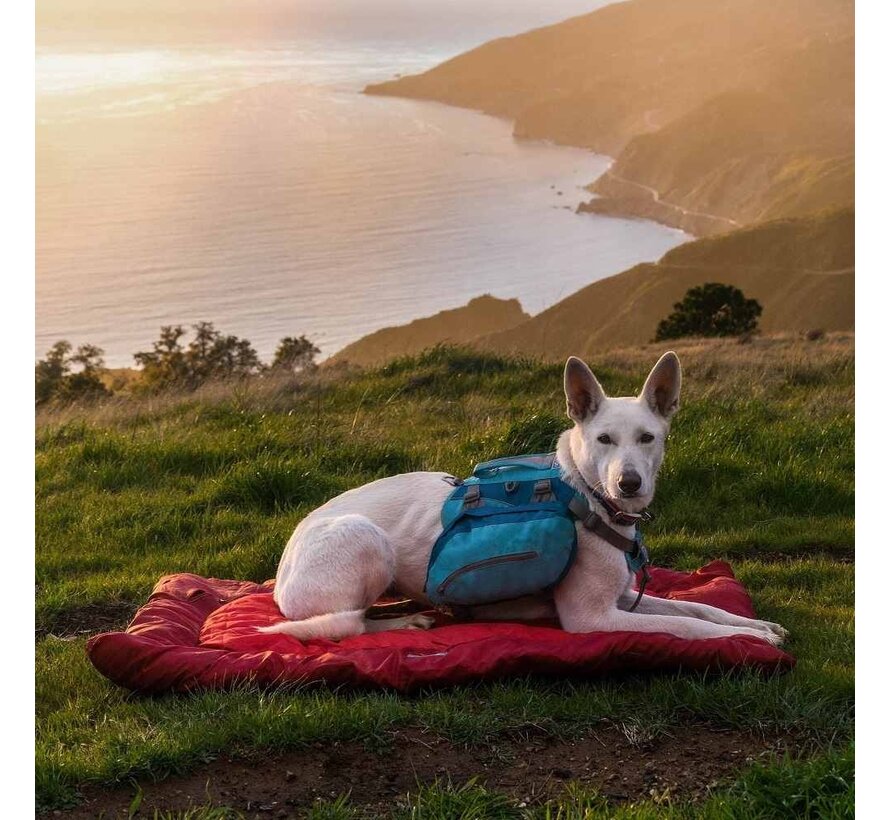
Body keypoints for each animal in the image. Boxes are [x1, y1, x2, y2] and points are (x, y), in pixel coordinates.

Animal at [264, 354, 784, 648]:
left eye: (647, 437)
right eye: (604, 439)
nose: (629, 484)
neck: (588, 498)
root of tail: (282, 570)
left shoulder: (623, 599)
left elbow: (698, 609)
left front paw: (756, 625)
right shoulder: (593, 618)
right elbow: (686, 627)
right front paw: (743, 637)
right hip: (364, 538)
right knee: (347, 625)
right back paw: (406, 623)